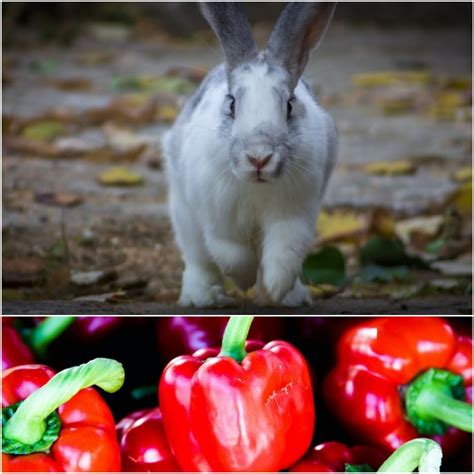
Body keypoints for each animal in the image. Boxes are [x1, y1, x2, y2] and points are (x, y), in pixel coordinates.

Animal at [163, 0, 336, 308]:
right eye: (232, 105)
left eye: (289, 105)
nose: (259, 158)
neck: (257, 186)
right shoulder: (219, 221)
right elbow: (233, 255)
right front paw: (243, 282)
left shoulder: (293, 217)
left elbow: (283, 256)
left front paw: (276, 290)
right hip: (184, 215)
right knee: (199, 261)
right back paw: (202, 298)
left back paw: (293, 298)